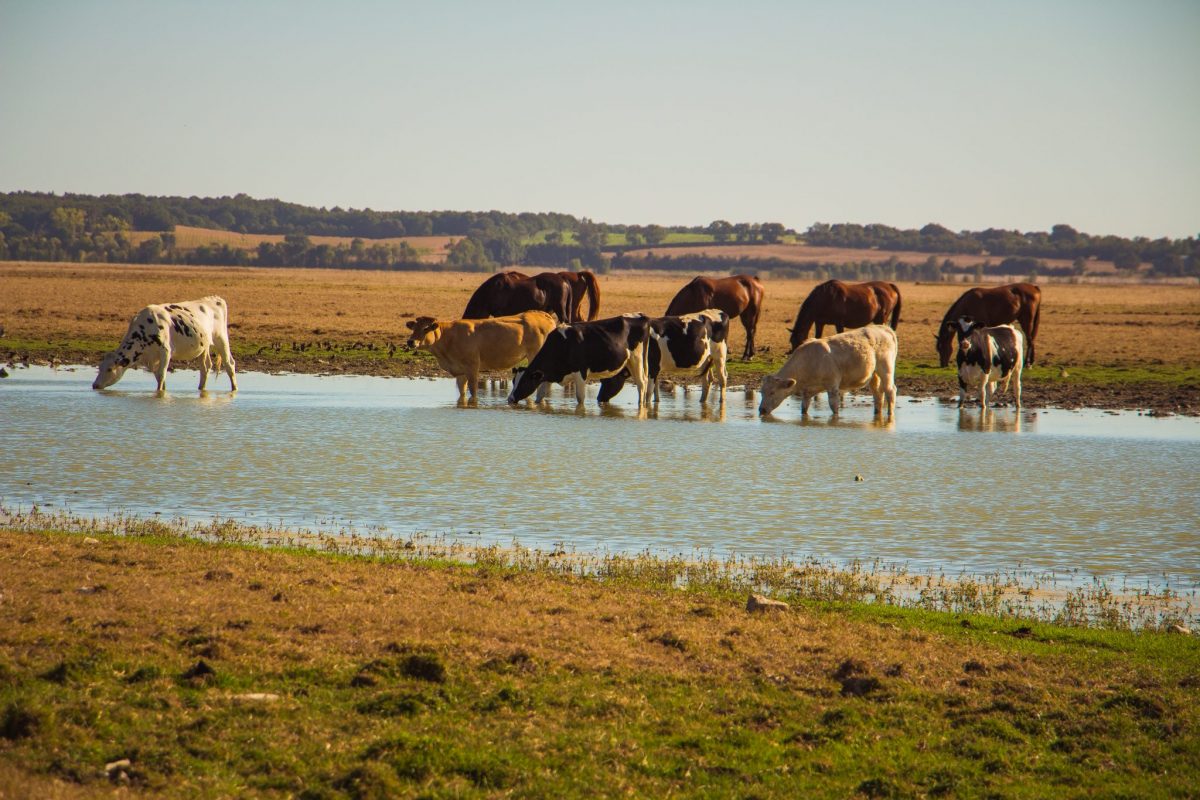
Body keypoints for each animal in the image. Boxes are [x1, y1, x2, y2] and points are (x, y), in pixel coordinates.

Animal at [92, 296, 237, 393]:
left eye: (109, 369)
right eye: (100, 367)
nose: (94, 385)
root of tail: (214, 299)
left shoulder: (165, 351)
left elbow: (162, 374)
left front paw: (160, 393)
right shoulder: (150, 360)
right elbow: (158, 376)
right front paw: (161, 391)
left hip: (221, 339)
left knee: (230, 364)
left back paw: (234, 389)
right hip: (203, 346)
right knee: (205, 367)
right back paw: (201, 389)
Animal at [400, 311, 554, 400]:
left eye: (426, 328)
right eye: (414, 328)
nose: (411, 341)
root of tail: (542, 314)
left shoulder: (472, 367)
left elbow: (473, 391)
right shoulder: (460, 372)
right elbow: (462, 392)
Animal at [508, 314, 657, 407]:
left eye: (524, 381)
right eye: (514, 381)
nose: (510, 399)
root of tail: (641, 317)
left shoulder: (580, 373)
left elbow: (580, 399)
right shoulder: (546, 376)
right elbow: (540, 397)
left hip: (636, 360)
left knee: (641, 383)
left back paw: (641, 406)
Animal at [753, 323, 897, 419]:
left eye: (772, 392)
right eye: (762, 392)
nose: (761, 410)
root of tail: (883, 328)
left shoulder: (832, 386)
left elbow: (834, 407)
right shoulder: (807, 391)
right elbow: (804, 408)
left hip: (886, 368)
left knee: (890, 390)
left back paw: (890, 415)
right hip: (873, 374)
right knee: (878, 393)